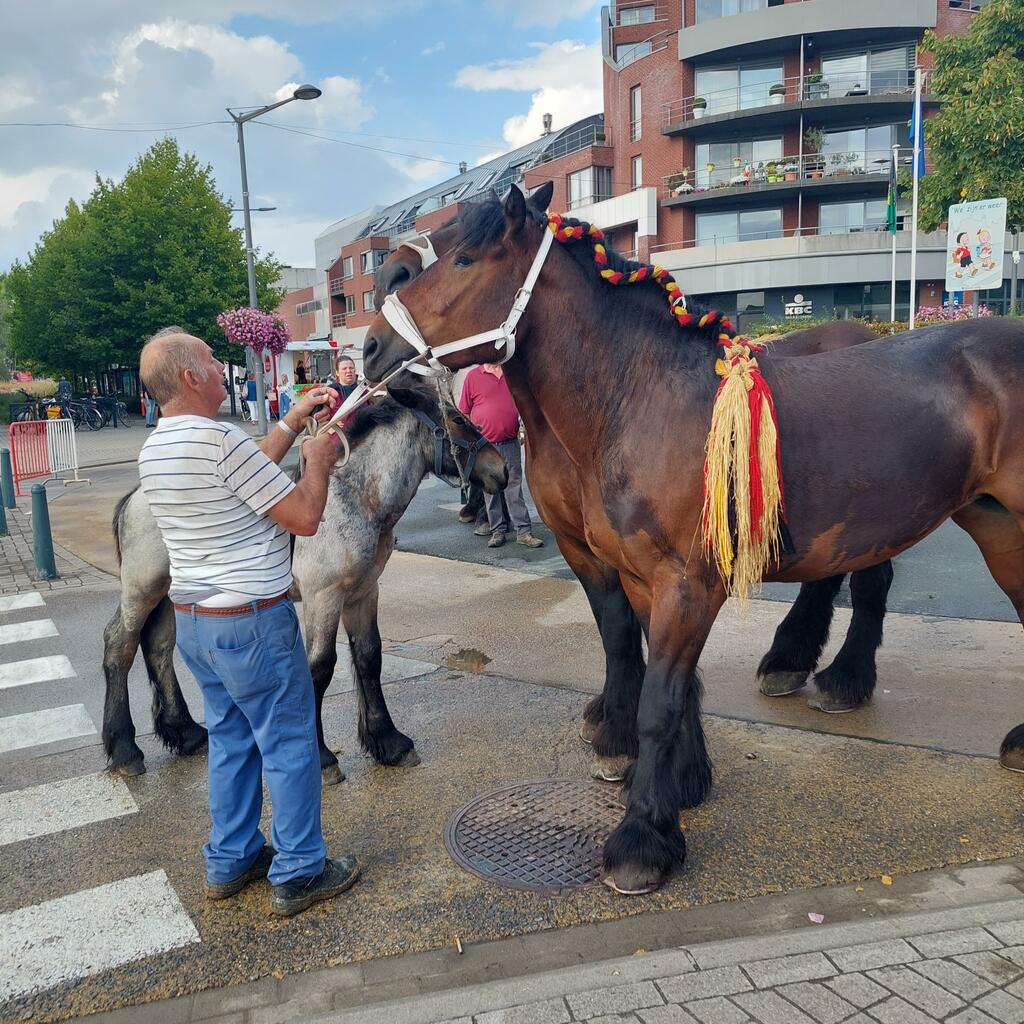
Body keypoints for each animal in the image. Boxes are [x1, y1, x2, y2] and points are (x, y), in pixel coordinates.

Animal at [99, 387, 507, 778]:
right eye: (457, 419)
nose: (501, 470)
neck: (354, 501)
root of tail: (135, 497)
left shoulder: (363, 593)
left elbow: (369, 657)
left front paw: (388, 742)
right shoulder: (323, 597)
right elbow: (321, 667)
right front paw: (323, 758)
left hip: (170, 593)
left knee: (158, 647)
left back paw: (185, 733)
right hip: (143, 589)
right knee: (121, 644)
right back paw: (124, 748)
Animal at [376, 218, 888, 774]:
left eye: (462, 251)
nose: (389, 274)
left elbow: (628, 627)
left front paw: (623, 735)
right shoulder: (585, 543)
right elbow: (618, 626)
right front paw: (619, 719)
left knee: (870, 579)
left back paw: (843, 679)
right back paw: (791, 661)